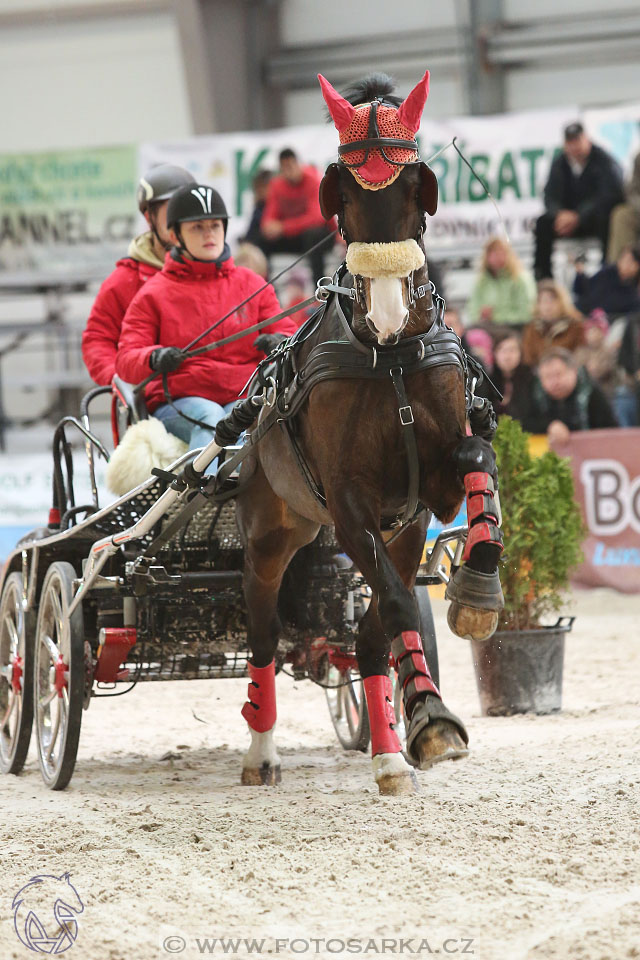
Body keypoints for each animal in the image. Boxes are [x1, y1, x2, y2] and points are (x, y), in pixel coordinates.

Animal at [232, 71, 502, 796]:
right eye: (346, 195)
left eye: (412, 189)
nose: (385, 311)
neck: (389, 358)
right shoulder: (351, 505)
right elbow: (398, 608)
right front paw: (428, 716)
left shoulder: (421, 500)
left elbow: (474, 458)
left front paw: (477, 591)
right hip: (271, 537)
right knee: (263, 633)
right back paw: (261, 751)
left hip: (383, 529)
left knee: (368, 632)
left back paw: (386, 749)